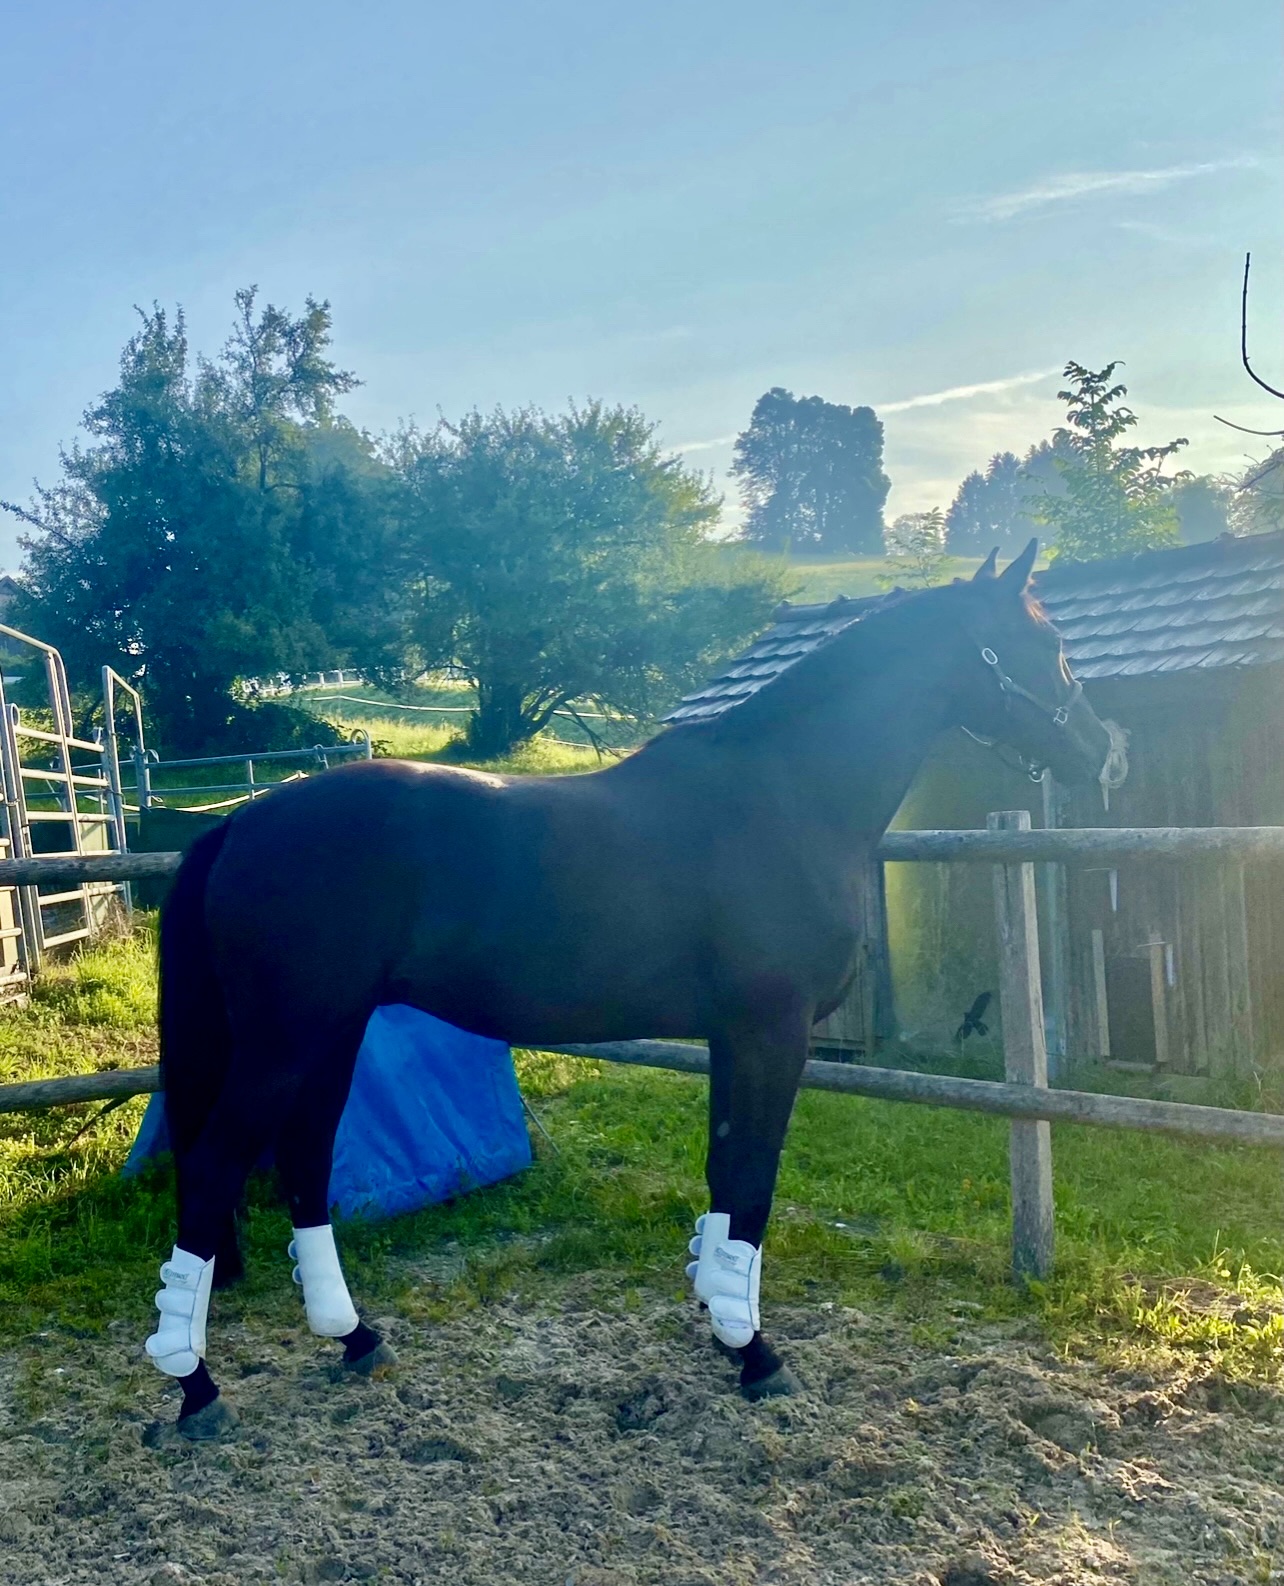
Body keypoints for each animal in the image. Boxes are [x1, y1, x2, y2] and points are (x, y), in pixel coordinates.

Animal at [144, 539, 1124, 1439]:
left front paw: (724, 1323)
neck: (786, 797)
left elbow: (726, 1173)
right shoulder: (772, 1030)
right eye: (1047, 642)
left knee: (305, 1161)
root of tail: (240, 823)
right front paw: (756, 1354)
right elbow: (753, 1176)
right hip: (285, 1040)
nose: (1102, 754)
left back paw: (354, 1339)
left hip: (334, 1031)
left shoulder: (736, 1035)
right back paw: (195, 1386)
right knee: (215, 1167)